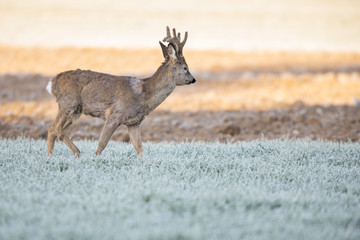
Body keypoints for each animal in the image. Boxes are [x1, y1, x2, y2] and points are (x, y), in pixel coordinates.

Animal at [47, 26, 197, 158]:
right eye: (185, 67)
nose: (193, 79)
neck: (143, 94)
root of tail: (53, 82)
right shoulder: (114, 115)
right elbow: (102, 144)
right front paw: (94, 160)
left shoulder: (134, 123)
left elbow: (139, 147)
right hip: (69, 103)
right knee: (56, 129)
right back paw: (77, 153)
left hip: (75, 111)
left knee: (51, 130)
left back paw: (49, 157)